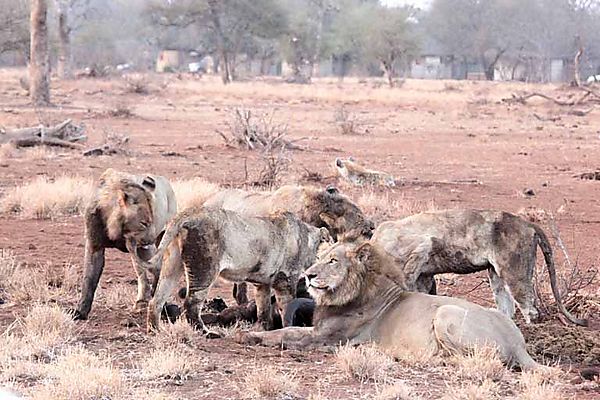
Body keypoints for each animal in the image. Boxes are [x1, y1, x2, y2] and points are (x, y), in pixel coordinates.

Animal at [72, 167, 176, 320]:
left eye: (153, 220)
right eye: (144, 223)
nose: (151, 240)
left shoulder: (145, 249)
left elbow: (158, 271)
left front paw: (161, 306)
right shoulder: (94, 246)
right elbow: (89, 280)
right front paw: (80, 312)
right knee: (142, 276)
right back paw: (141, 302)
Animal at [135, 206, 330, 332]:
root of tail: (185, 214)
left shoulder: (263, 283)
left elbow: (263, 307)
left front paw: (263, 328)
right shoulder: (285, 280)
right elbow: (287, 305)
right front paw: (287, 328)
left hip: (172, 264)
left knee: (157, 300)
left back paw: (155, 330)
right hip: (205, 268)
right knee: (191, 303)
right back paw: (206, 333)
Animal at [237, 241, 548, 372]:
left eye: (333, 261)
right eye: (319, 258)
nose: (309, 275)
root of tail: (518, 343)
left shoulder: (327, 339)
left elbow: (286, 334)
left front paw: (250, 336)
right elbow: (286, 331)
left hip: (445, 313)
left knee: (474, 359)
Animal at [372, 208, 588, 326]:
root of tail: (527, 223)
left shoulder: (422, 247)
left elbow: (408, 284)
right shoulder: (424, 275)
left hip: (514, 273)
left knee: (530, 309)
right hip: (496, 275)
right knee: (508, 308)